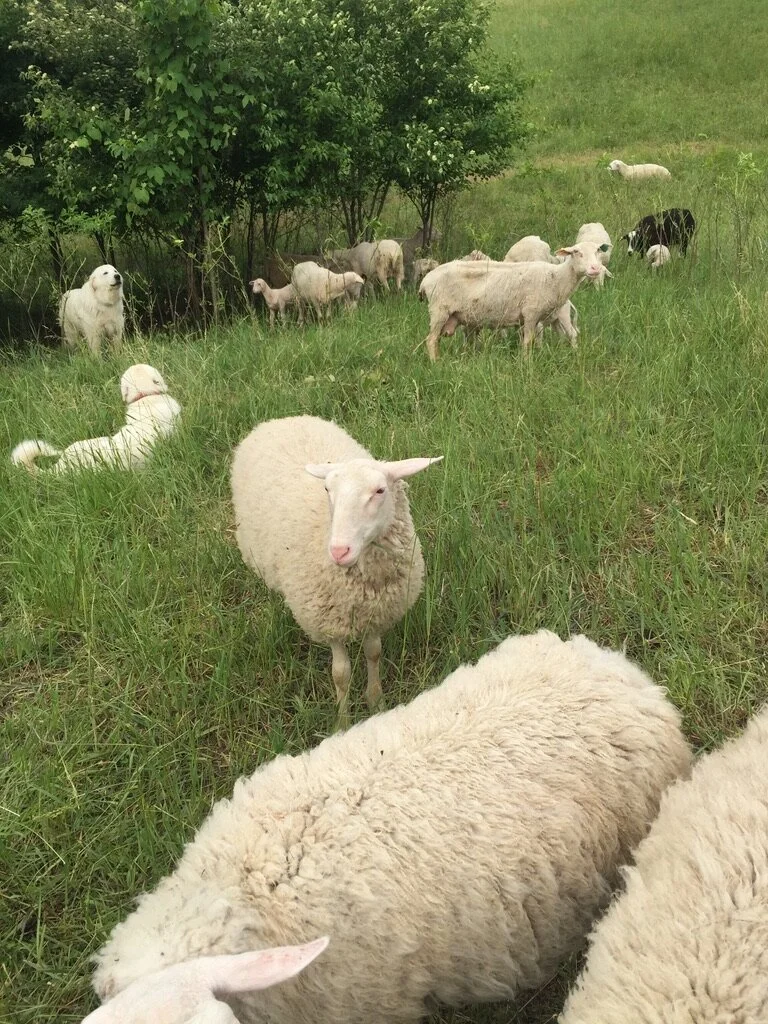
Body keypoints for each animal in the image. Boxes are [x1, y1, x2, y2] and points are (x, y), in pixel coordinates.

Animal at [230, 415, 442, 710]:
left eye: (380, 490)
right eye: (327, 489)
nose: (339, 551)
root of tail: (282, 419)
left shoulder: (375, 614)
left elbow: (374, 653)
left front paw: (375, 701)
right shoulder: (329, 623)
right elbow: (341, 674)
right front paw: (343, 716)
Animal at [419, 241, 609, 360]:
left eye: (597, 252)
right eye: (577, 252)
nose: (595, 268)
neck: (556, 277)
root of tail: (425, 280)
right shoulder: (531, 313)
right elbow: (528, 341)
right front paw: (526, 362)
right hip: (439, 311)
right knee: (431, 340)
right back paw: (436, 363)